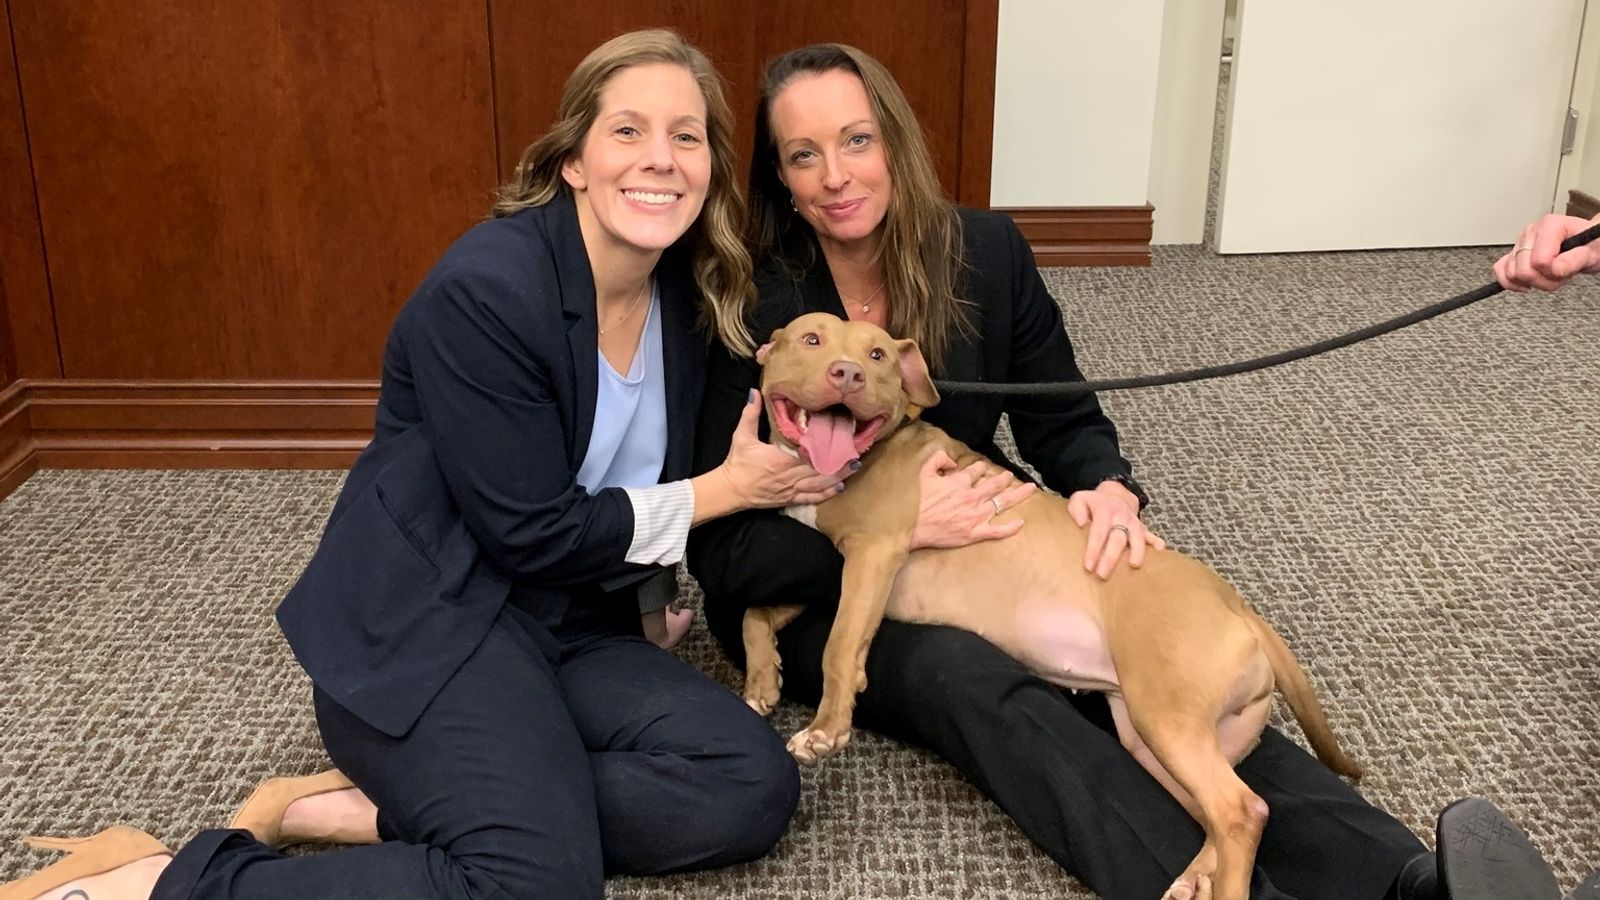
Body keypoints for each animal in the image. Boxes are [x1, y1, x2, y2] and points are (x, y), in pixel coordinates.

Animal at [745, 312, 1363, 896]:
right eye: (811, 339)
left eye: (877, 354)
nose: (847, 374)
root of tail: (1240, 609)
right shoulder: (832, 572)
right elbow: (760, 610)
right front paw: (762, 679)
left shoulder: (874, 557)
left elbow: (840, 644)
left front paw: (826, 728)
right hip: (1156, 741)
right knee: (1223, 813)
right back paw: (1191, 879)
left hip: (1167, 717)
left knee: (1241, 810)